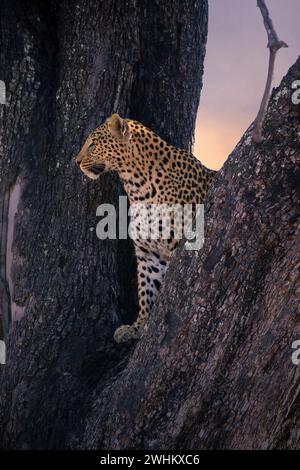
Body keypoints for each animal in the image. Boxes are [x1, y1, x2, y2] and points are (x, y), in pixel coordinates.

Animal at [75, 113, 216, 342]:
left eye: (93, 144)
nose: (76, 161)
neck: (137, 186)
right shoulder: (148, 253)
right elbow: (147, 290)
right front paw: (138, 326)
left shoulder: (178, 244)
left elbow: (175, 283)